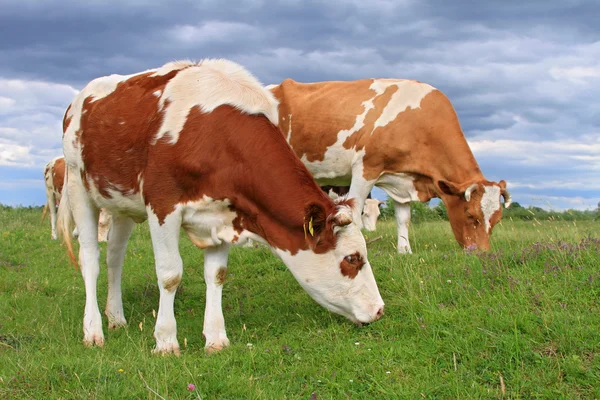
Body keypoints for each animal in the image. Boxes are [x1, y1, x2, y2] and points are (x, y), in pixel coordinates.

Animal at [56, 58, 384, 354]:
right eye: (352, 259)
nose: (380, 309)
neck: (214, 136)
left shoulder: (226, 213)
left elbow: (217, 274)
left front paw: (216, 339)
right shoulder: (162, 205)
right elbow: (170, 274)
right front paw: (166, 341)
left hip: (120, 203)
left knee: (115, 258)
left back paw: (116, 317)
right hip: (78, 189)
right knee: (91, 260)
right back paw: (93, 331)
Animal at [268, 78, 510, 253]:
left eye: (497, 220)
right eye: (470, 215)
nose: (482, 253)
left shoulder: (402, 179)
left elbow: (404, 219)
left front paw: (405, 251)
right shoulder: (365, 168)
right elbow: (354, 213)